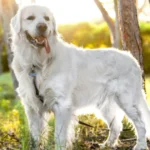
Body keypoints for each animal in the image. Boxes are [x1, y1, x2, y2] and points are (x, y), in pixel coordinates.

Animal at [10, 4, 150, 149]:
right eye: (30, 18)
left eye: (47, 18)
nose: (43, 27)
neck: (38, 62)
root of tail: (132, 58)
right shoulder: (32, 106)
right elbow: (35, 136)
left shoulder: (61, 104)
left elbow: (59, 135)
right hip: (106, 105)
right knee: (116, 126)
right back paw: (106, 145)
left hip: (126, 100)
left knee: (141, 125)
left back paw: (140, 146)